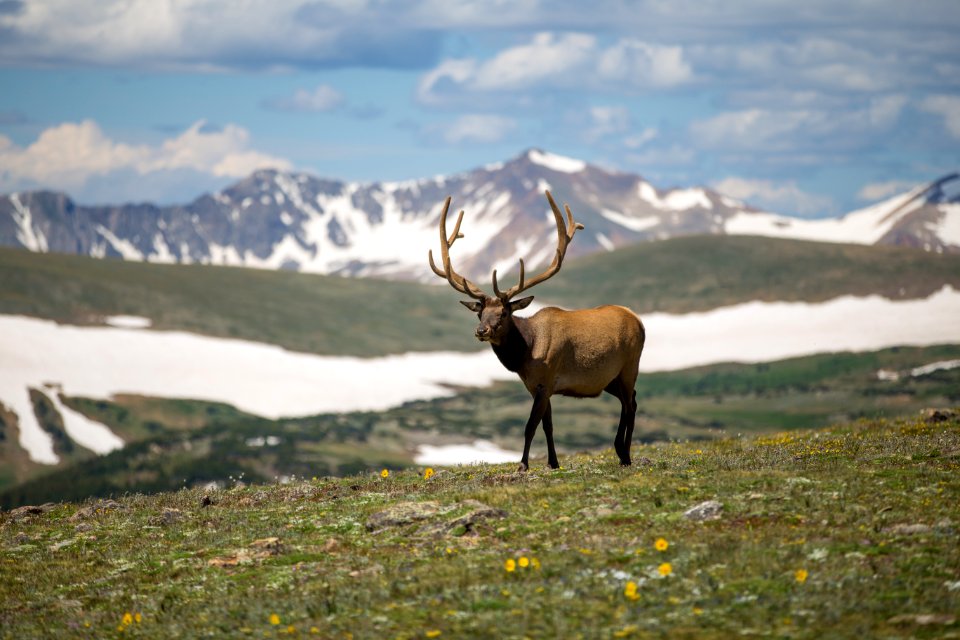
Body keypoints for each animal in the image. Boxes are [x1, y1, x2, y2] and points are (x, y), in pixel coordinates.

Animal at [434, 190, 644, 470]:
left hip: (630, 365)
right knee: (630, 400)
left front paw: (523, 464)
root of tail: (637, 319)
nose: (481, 330)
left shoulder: (546, 378)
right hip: (609, 378)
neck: (526, 353)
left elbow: (530, 426)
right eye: (479, 312)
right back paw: (621, 451)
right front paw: (553, 463)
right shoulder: (536, 386)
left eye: (504, 313)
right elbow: (548, 425)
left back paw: (625, 454)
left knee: (630, 404)